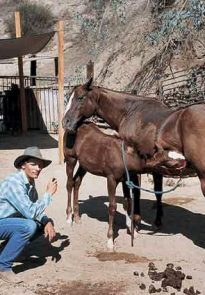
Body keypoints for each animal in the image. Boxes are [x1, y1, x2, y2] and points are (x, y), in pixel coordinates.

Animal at [63, 122, 164, 250]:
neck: (123, 156)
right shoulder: (111, 179)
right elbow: (112, 207)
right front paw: (110, 240)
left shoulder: (125, 180)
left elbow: (128, 203)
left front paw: (133, 231)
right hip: (71, 160)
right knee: (69, 184)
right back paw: (68, 218)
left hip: (84, 165)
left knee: (77, 182)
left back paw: (77, 217)